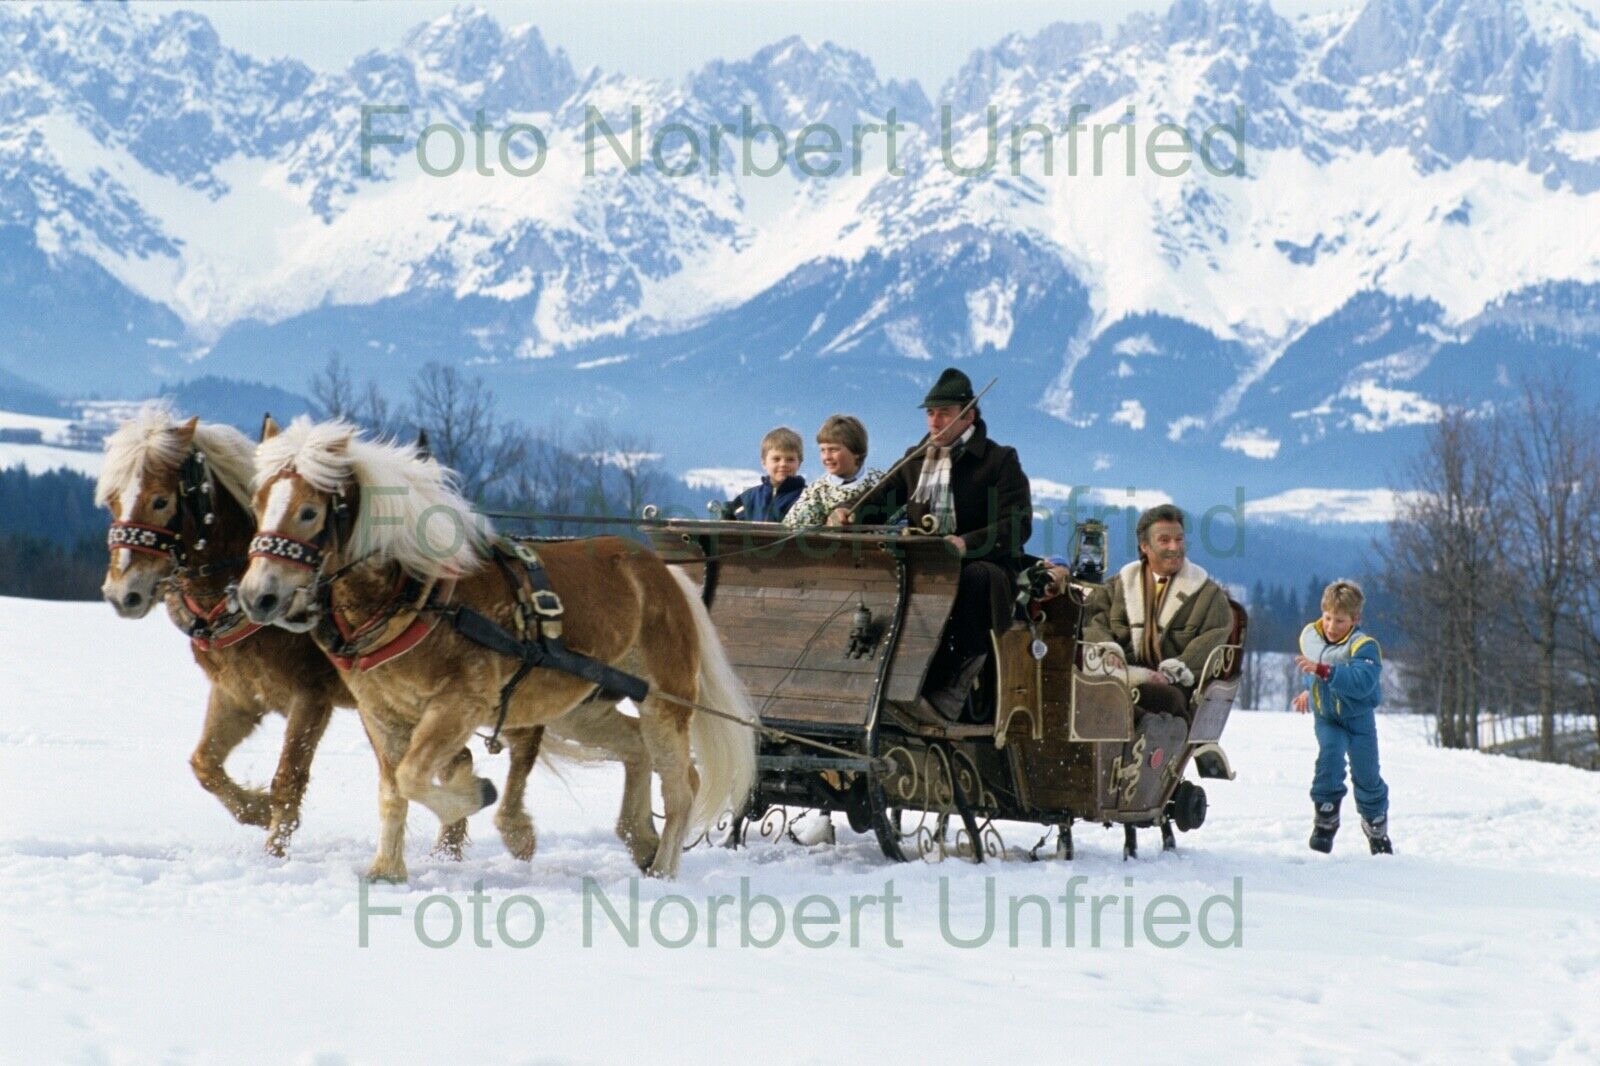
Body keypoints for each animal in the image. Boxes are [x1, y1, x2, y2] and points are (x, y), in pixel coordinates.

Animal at [96, 406, 659, 864]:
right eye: (112, 501)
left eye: (161, 501)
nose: (122, 593)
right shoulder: (239, 694)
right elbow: (205, 764)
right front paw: (254, 810)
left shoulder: (312, 697)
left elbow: (289, 777)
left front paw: (273, 843)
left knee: (524, 744)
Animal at [236, 419, 755, 877]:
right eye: (258, 503)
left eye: (309, 511)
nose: (258, 596)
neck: (419, 597)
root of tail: (663, 573)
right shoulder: (380, 713)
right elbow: (393, 788)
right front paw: (386, 870)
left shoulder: (460, 703)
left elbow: (413, 775)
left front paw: (474, 797)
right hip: (579, 707)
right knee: (636, 749)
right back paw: (640, 837)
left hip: (666, 701)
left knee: (682, 784)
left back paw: (663, 869)